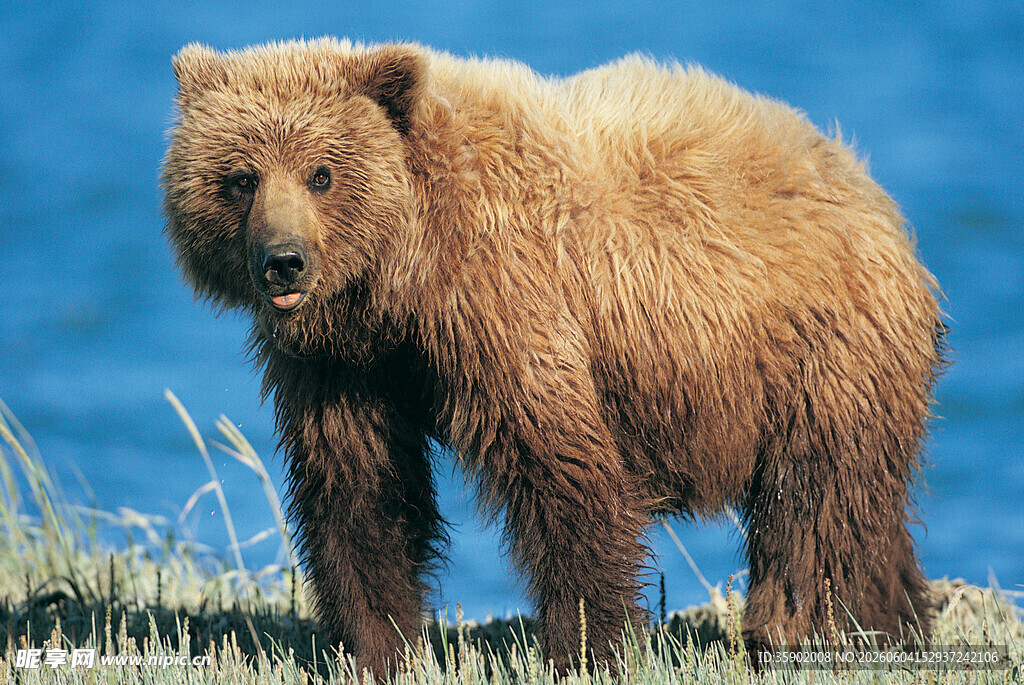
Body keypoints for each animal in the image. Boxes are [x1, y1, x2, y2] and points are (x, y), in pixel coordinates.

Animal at [162, 38, 944, 675]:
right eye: (240, 177)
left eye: (321, 173)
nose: (284, 261)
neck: (400, 276)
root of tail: (868, 186)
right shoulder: (348, 366)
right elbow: (360, 491)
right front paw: (377, 646)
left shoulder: (505, 301)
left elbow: (561, 471)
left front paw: (587, 646)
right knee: (865, 516)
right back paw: (893, 627)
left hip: (817, 353)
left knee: (810, 510)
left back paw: (791, 635)